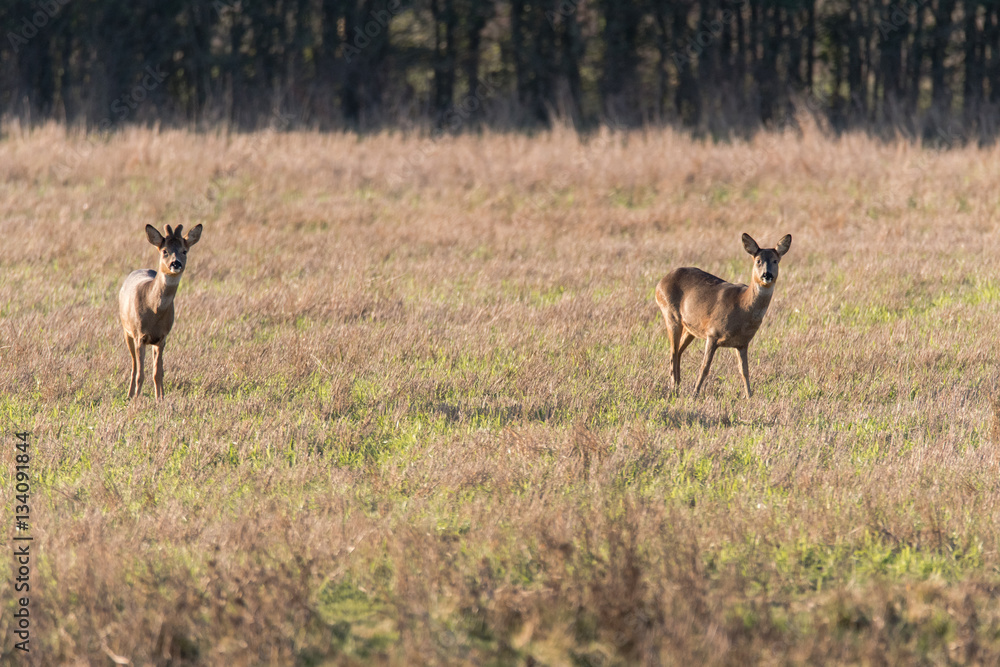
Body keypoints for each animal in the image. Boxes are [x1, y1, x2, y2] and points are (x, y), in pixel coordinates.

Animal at [118, 224, 203, 400]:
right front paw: (136, 399)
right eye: (165, 251)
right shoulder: (139, 335)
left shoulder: (162, 337)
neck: (154, 309)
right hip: (126, 330)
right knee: (134, 365)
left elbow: (157, 373)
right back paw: (129, 395)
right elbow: (140, 374)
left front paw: (160, 399)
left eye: (184, 251)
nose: (175, 263)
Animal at [655, 233, 791, 398]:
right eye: (758, 260)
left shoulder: (742, 343)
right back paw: (674, 388)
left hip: (690, 328)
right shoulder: (713, 333)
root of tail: (660, 283)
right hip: (670, 315)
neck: (742, 307)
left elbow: (744, 371)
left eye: (775, 260)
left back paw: (677, 386)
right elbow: (704, 367)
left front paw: (749, 396)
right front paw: (695, 394)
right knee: (673, 352)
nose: (767, 275)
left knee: (679, 351)